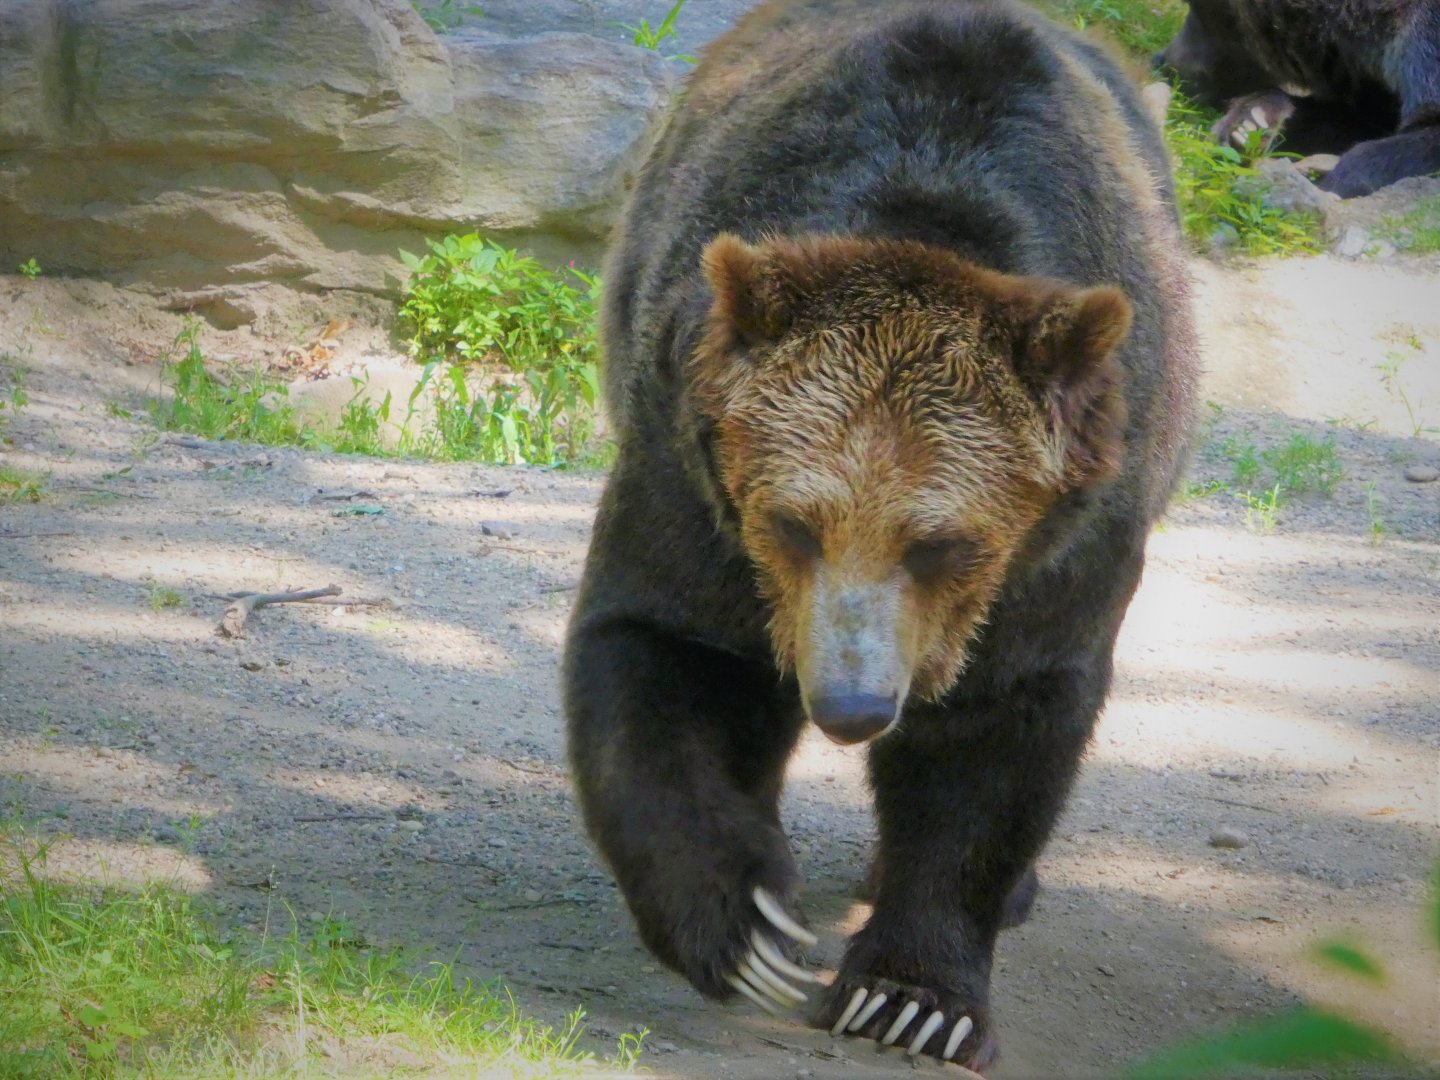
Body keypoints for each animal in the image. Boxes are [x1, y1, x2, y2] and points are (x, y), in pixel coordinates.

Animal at [563, 0, 1198, 1071]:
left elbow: (997, 735)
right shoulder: (693, 475)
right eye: (793, 522)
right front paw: (746, 926)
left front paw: (915, 999)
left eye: (940, 542)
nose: (853, 705)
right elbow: (666, 651)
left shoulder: (1065, 542)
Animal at [1154, 0, 1440, 197]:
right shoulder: (1373, 87)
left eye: (1196, 6)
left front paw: (1328, 180)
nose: (1166, 62)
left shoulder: (1424, 37)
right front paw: (1246, 125)